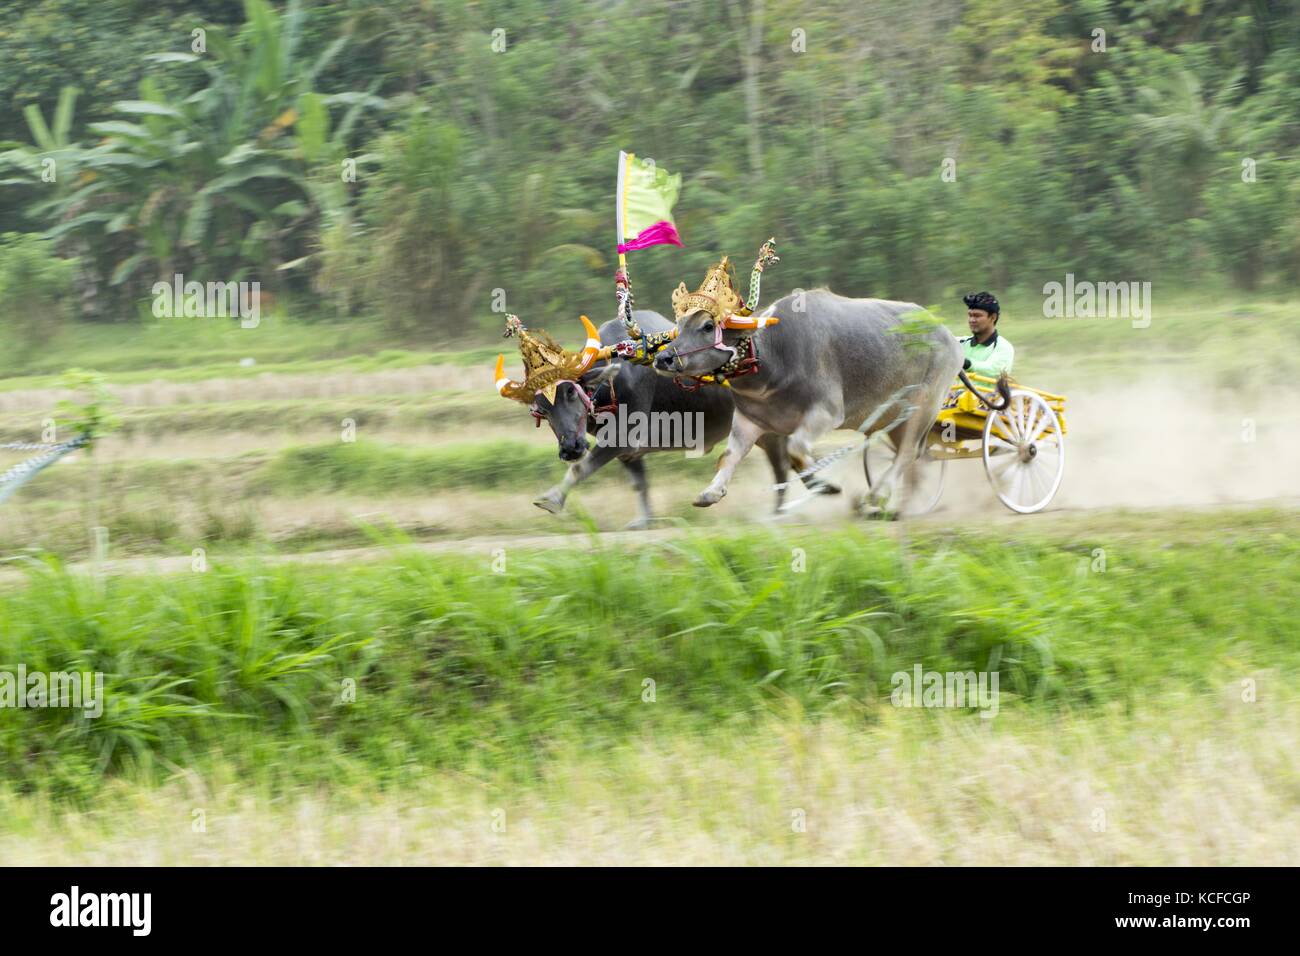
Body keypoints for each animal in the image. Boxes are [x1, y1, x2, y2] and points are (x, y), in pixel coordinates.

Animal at [655, 287, 998, 512]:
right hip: (892, 418)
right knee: (916, 456)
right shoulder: (749, 420)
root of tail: (949, 338)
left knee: (908, 454)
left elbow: (795, 451)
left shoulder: (826, 412)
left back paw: (877, 495)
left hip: (924, 406)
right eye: (679, 326)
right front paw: (710, 492)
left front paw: (825, 485)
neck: (773, 358)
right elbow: (730, 457)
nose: (663, 359)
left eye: (707, 326)